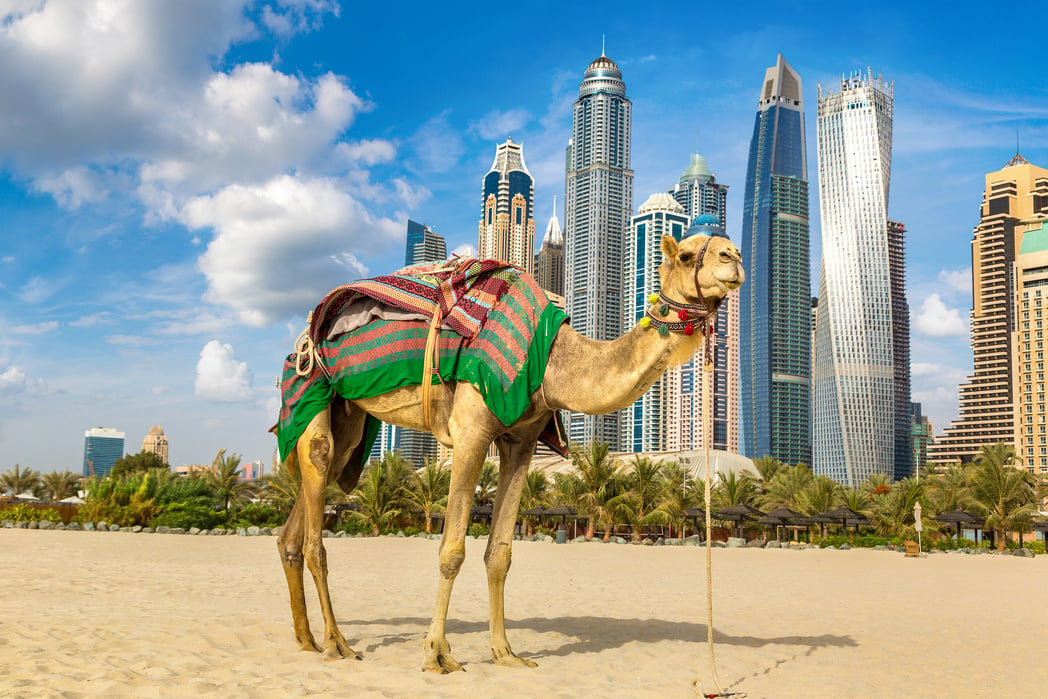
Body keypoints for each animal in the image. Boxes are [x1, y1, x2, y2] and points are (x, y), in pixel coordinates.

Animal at [274, 233, 741, 670]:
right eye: (687, 255)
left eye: (726, 244)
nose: (733, 258)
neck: (554, 361)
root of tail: (301, 339)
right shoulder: (471, 430)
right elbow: (452, 550)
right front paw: (437, 654)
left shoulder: (521, 441)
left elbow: (500, 553)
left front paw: (505, 653)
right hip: (311, 390)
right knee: (317, 503)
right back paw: (337, 643)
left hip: (349, 420)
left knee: (297, 524)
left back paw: (306, 639)